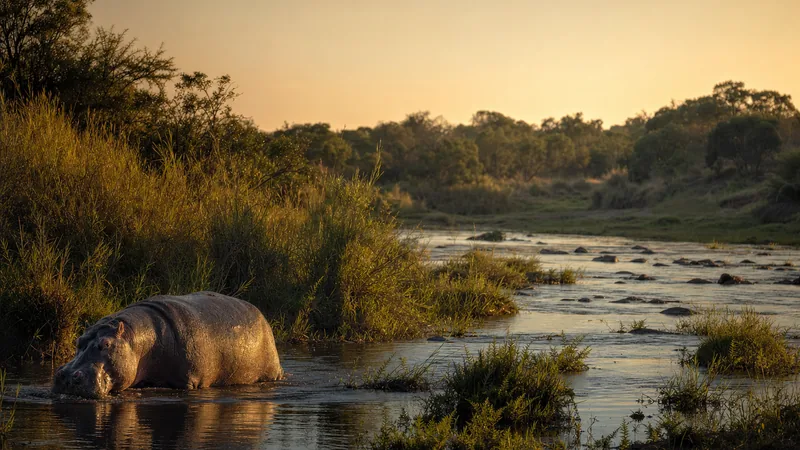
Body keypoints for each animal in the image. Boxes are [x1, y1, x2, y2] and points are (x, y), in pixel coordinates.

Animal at [52, 292, 282, 399]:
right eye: (78, 341)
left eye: (105, 343)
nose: (66, 375)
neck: (139, 342)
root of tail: (261, 315)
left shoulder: (190, 381)